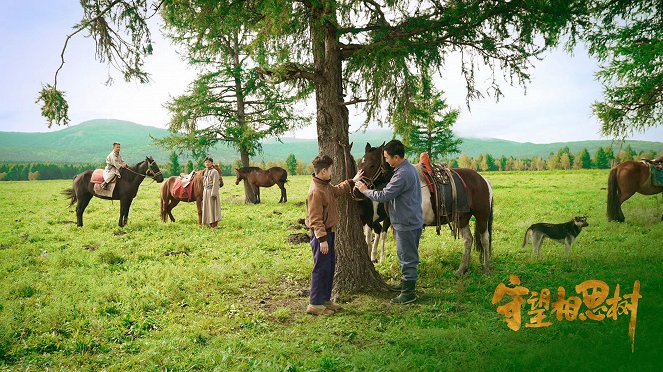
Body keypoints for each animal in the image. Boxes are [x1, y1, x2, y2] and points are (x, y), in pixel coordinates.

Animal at [358, 142, 492, 276]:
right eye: (359, 164)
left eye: (372, 165)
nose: (357, 190)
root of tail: (484, 180)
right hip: (463, 218)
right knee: (468, 240)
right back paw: (461, 269)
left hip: (481, 216)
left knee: (485, 239)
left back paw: (486, 269)